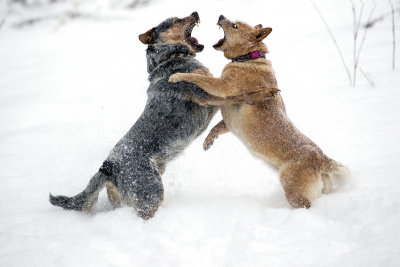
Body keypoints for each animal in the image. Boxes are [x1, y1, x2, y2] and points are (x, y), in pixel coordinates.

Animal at [50, 11, 220, 220]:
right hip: (151, 193)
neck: (168, 57)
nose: (195, 13)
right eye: (176, 20)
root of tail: (108, 166)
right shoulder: (206, 94)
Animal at [170, 15, 348, 210]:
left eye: (234, 25)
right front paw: (208, 141)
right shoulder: (229, 118)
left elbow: (199, 77)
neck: (248, 58)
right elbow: (216, 127)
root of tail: (321, 159)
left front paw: (178, 75)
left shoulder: (222, 87)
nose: (221, 16)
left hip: (293, 190)